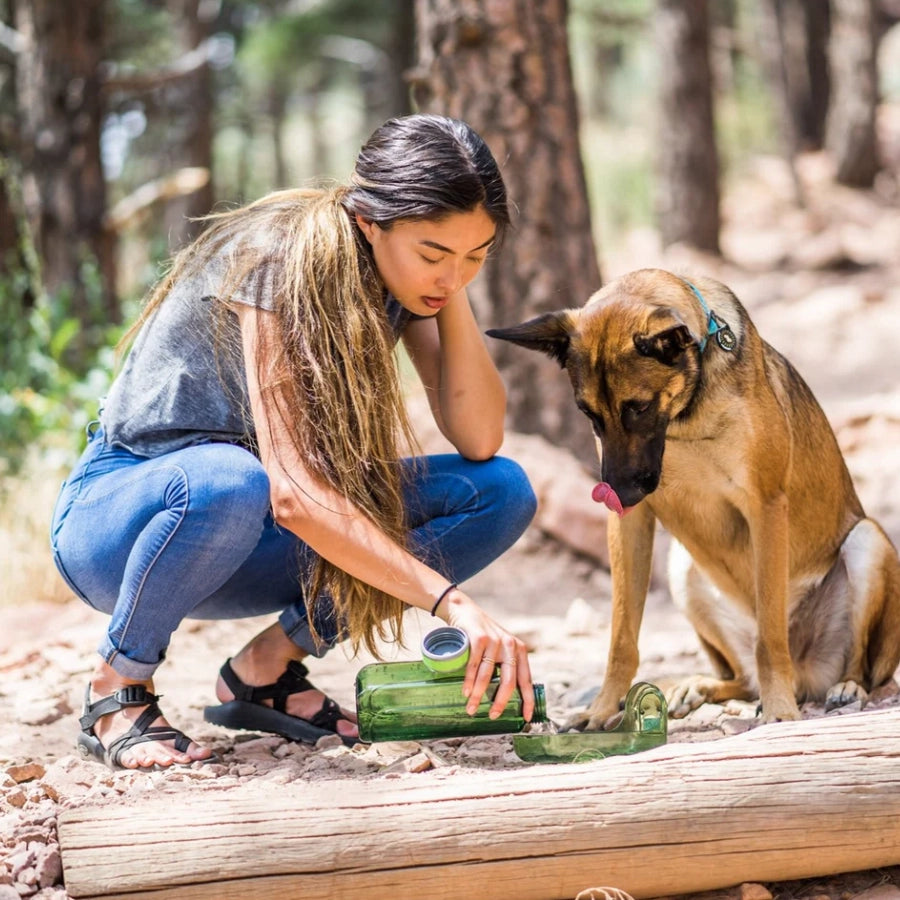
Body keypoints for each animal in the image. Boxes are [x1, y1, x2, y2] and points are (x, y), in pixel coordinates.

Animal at [488, 270, 900, 728]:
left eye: (638, 407)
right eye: (589, 414)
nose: (616, 495)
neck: (684, 419)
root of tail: (808, 674)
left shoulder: (766, 506)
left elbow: (770, 637)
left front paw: (779, 710)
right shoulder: (630, 523)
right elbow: (621, 637)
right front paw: (601, 708)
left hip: (868, 542)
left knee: (861, 667)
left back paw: (845, 687)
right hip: (681, 566)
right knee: (742, 678)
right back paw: (697, 686)